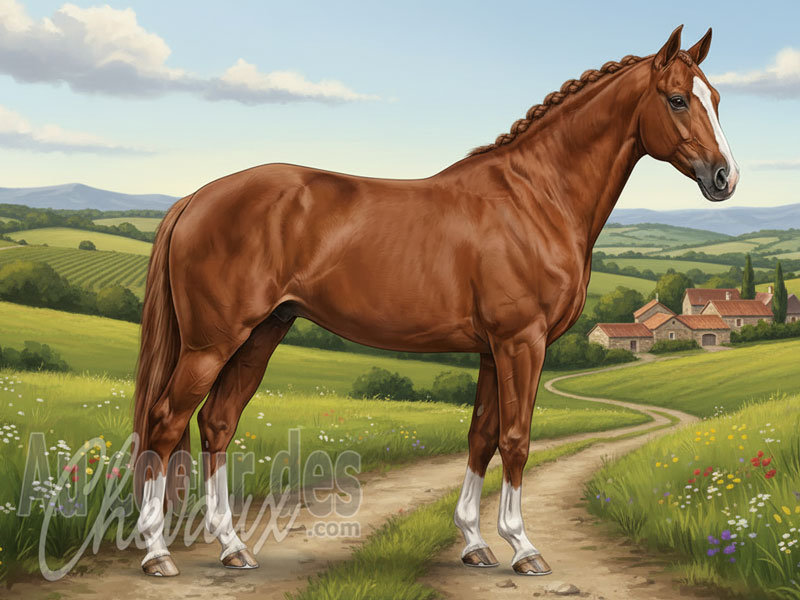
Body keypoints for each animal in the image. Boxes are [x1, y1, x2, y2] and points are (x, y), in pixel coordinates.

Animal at [132, 25, 739, 577]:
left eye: (716, 98)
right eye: (677, 98)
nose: (725, 178)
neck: (536, 197)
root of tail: (195, 198)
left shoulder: (494, 349)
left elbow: (481, 437)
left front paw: (475, 543)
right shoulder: (522, 343)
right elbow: (516, 440)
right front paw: (524, 549)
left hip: (262, 333)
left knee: (217, 423)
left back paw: (233, 548)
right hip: (212, 343)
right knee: (164, 421)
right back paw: (158, 554)